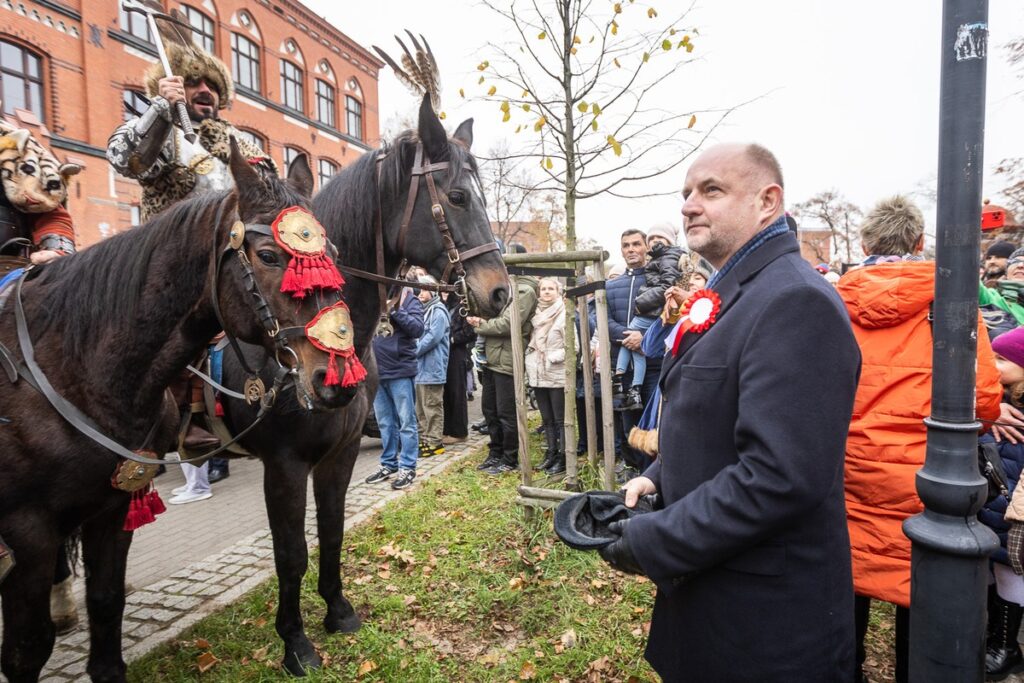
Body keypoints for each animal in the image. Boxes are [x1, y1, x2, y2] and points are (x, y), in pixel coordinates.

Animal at [0, 141, 364, 679]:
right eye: (269, 255)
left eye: (334, 257)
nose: (338, 379)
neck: (69, 364)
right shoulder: (28, 530)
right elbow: (28, 647)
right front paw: (297, 644)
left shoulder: (110, 508)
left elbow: (105, 602)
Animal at [216, 93, 507, 675]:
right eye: (458, 196)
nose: (501, 292)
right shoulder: (284, 465)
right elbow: (291, 554)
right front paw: (295, 642)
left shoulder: (341, 450)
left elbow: (331, 531)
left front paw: (338, 611)